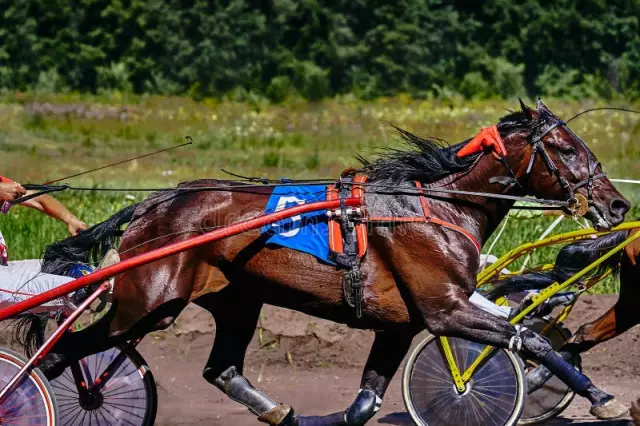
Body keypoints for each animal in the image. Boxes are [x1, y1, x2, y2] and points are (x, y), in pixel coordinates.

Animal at [35, 100, 632, 426]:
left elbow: (366, 402)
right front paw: (603, 397)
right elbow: (529, 340)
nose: (618, 205)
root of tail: (152, 204)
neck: (436, 205)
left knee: (219, 368)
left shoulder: (399, 323)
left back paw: (279, 411)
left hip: (234, 300)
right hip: (144, 304)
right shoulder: (444, 309)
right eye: (568, 149)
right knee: (60, 353)